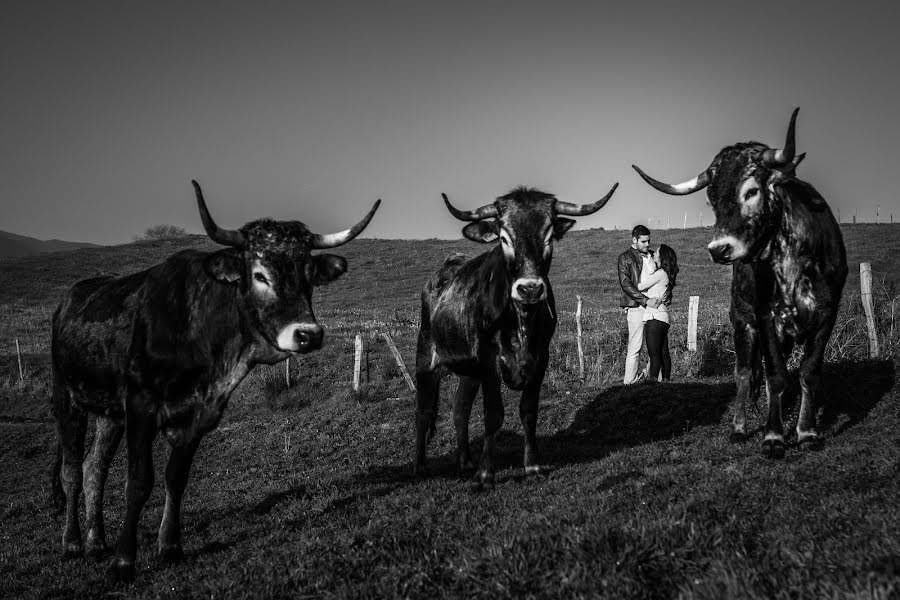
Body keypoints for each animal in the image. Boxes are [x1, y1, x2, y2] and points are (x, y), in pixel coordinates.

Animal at [49, 180, 380, 580]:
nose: (307, 334)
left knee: (93, 468)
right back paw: (71, 543)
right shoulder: (141, 406)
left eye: (308, 276)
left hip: (108, 412)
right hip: (67, 397)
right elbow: (139, 481)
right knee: (70, 470)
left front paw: (170, 547)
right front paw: (124, 561)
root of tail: (72, 296)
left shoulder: (200, 412)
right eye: (259, 275)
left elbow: (176, 477)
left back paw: (96, 541)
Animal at [416, 183, 620, 482]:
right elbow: (493, 414)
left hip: (470, 371)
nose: (530, 288)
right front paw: (486, 473)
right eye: (504, 238)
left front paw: (532, 465)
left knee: (460, 409)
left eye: (548, 237)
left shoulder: (541, 357)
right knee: (423, 410)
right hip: (426, 354)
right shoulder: (490, 360)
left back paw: (465, 462)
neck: (520, 320)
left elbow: (529, 411)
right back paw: (420, 466)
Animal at [628, 108, 848, 460]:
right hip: (743, 322)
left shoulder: (827, 313)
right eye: (712, 200)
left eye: (751, 191)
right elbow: (775, 375)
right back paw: (740, 427)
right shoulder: (764, 316)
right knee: (744, 373)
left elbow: (808, 373)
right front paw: (773, 436)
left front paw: (806, 432)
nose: (719, 249)